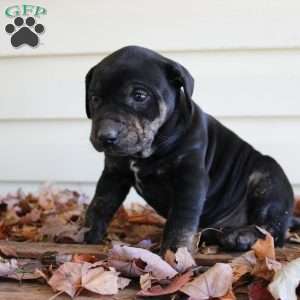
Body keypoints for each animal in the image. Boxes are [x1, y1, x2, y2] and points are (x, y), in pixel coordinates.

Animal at [83, 46, 294, 253]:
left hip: (268, 180)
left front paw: (175, 250)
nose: (105, 136)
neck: (150, 148)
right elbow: (100, 203)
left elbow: (181, 218)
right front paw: (88, 234)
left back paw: (242, 235)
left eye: (140, 96)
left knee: (271, 228)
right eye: (95, 99)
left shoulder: (190, 178)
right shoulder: (114, 173)